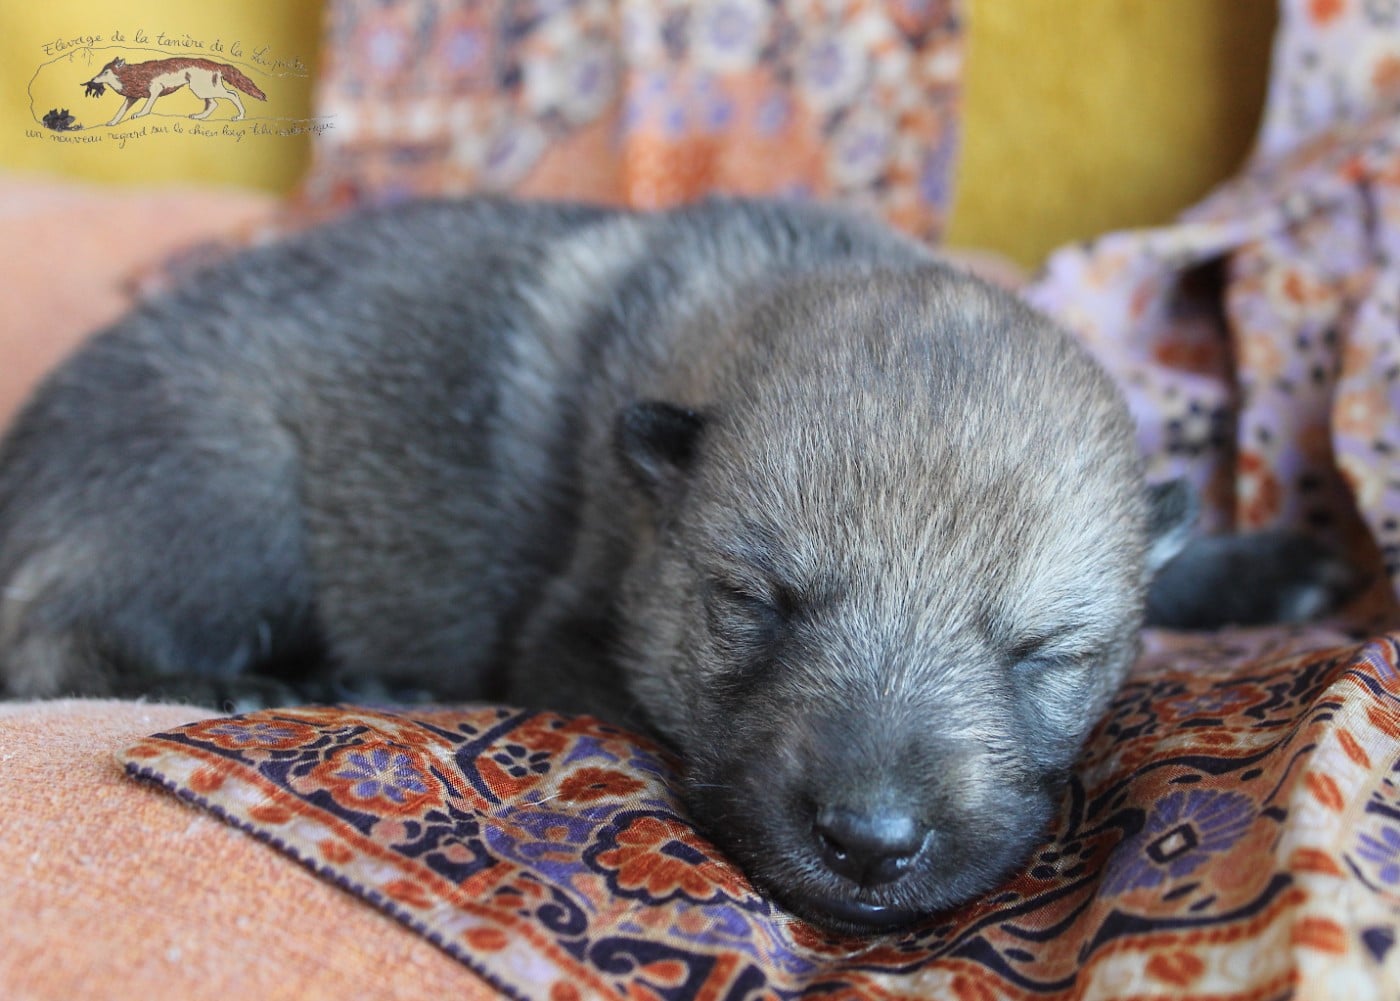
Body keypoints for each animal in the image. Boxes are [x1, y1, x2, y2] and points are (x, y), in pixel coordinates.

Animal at [0, 198, 1357, 932]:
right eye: (755, 604)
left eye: (1040, 652)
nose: (868, 842)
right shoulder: (561, 635)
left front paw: (1252, 564)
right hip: (224, 487)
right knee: (58, 637)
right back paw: (287, 684)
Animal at [82, 56, 267, 127]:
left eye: (105, 72)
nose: (92, 79)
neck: (130, 75)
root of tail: (216, 64)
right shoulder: (131, 97)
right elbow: (120, 111)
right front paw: (112, 122)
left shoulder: (155, 89)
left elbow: (147, 108)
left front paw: (139, 114)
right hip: (202, 91)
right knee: (213, 104)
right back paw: (199, 117)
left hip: (203, 89)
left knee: (232, 94)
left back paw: (240, 116)